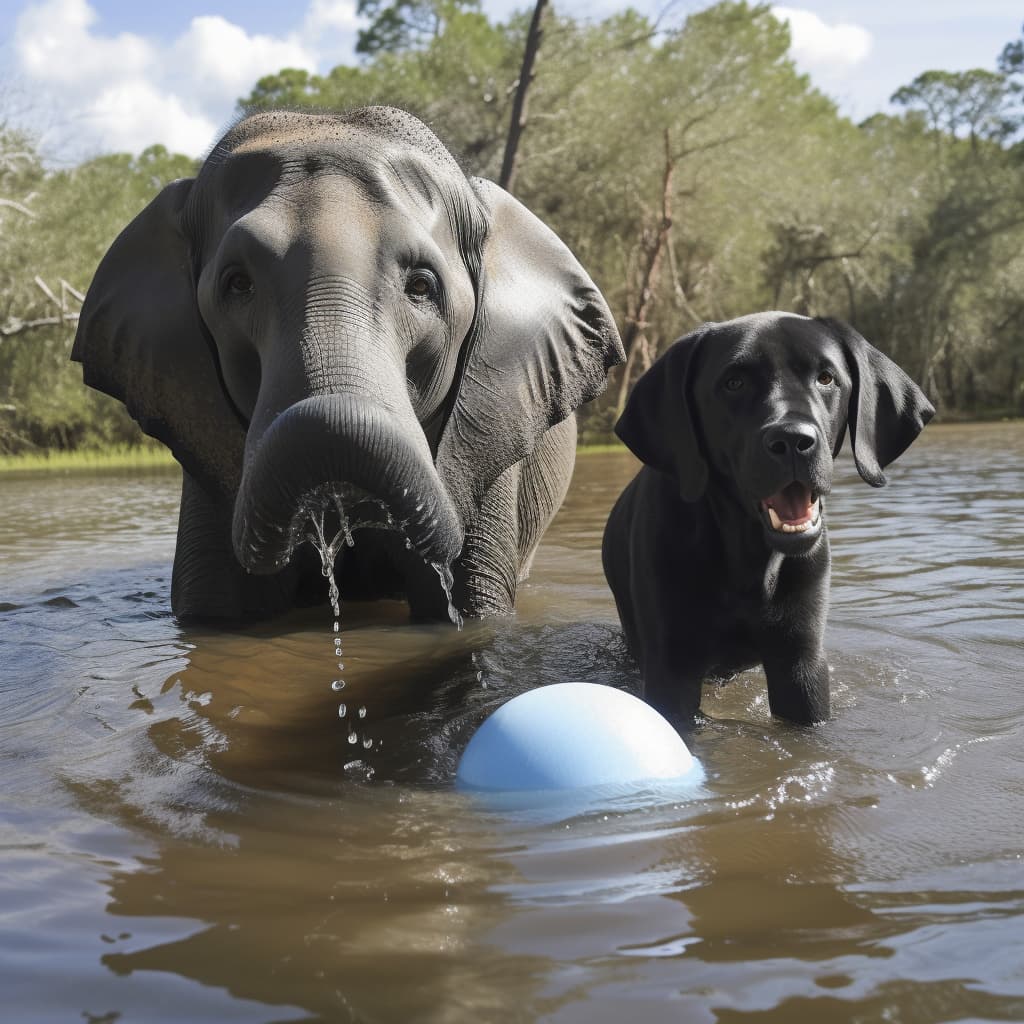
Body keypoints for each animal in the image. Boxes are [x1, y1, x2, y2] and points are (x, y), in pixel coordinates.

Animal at [598, 311, 937, 720]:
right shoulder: (671, 665)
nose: (793, 440)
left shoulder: (800, 662)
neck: (747, 558)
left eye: (826, 377)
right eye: (734, 382)